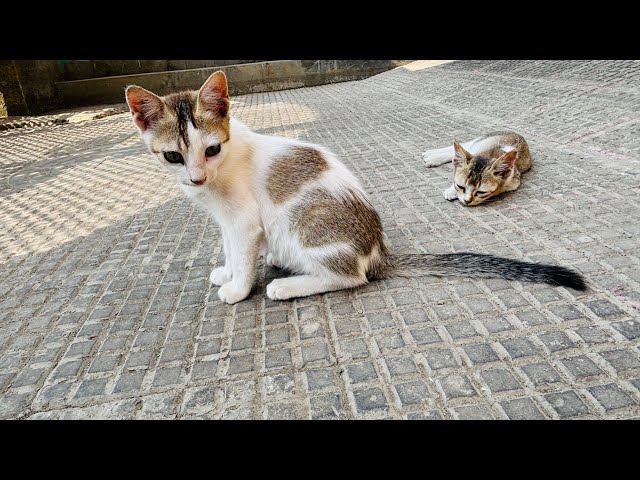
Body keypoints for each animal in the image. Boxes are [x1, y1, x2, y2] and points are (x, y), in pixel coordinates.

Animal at [124, 72, 584, 304]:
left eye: (212, 148)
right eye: (173, 156)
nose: (196, 178)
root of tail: (377, 251)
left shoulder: (243, 221)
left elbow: (242, 252)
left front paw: (237, 288)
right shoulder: (225, 220)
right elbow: (229, 249)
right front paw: (227, 271)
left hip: (306, 227)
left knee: (349, 277)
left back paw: (288, 285)